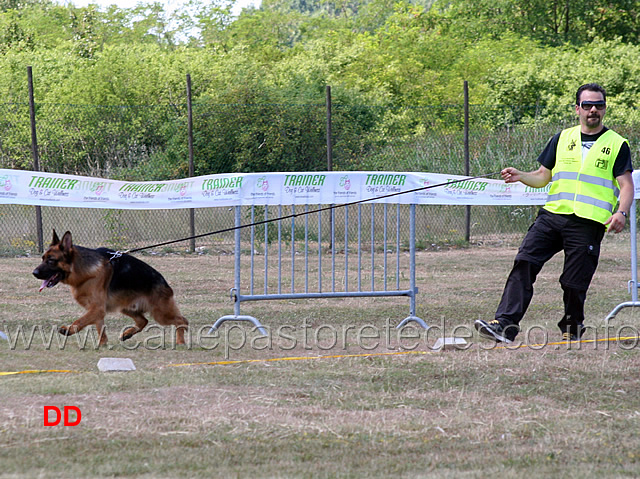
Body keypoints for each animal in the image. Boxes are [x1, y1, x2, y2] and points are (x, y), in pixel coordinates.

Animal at [32, 232, 188, 346]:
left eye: (51, 260)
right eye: (42, 258)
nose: (34, 273)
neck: (83, 271)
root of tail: (164, 282)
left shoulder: (97, 309)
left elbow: (79, 321)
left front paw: (69, 330)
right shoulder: (97, 310)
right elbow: (100, 328)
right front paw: (103, 344)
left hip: (160, 313)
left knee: (182, 321)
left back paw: (180, 342)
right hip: (126, 307)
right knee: (143, 321)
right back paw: (127, 334)